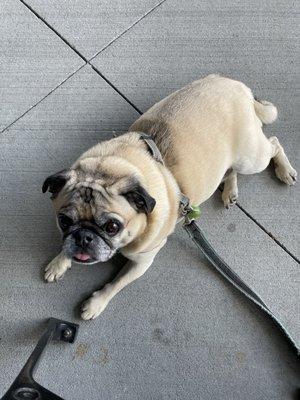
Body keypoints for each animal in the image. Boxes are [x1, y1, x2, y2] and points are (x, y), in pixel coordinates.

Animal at [43, 75, 296, 320]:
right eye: (63, 221)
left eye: (112, 227)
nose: (84, 237)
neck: (112, 171)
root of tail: (239, 86)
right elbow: (66, 248)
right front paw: (59, 262)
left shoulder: (143, 261)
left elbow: (116, 285)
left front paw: (96, 303)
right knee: (229, 169)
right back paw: (229, 191)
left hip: (251, 158)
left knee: (273, 143)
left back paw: (285, 171)